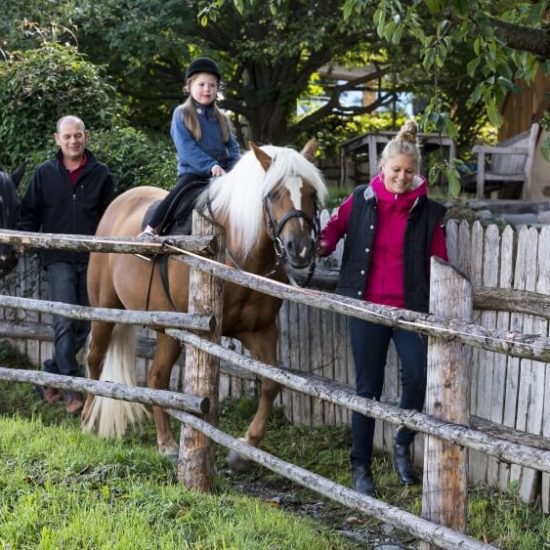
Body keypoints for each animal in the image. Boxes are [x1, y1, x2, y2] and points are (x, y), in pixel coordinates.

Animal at [82, 142, 328, 466]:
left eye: (311, 193)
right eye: (273, 193)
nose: (299, 249)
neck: (236, 248)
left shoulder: (261, 331)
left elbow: (271, 383)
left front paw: (245, 447)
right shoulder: (200, 331)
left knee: (154, 376)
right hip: (111, 312)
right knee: (105, 361)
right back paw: (99, 422)